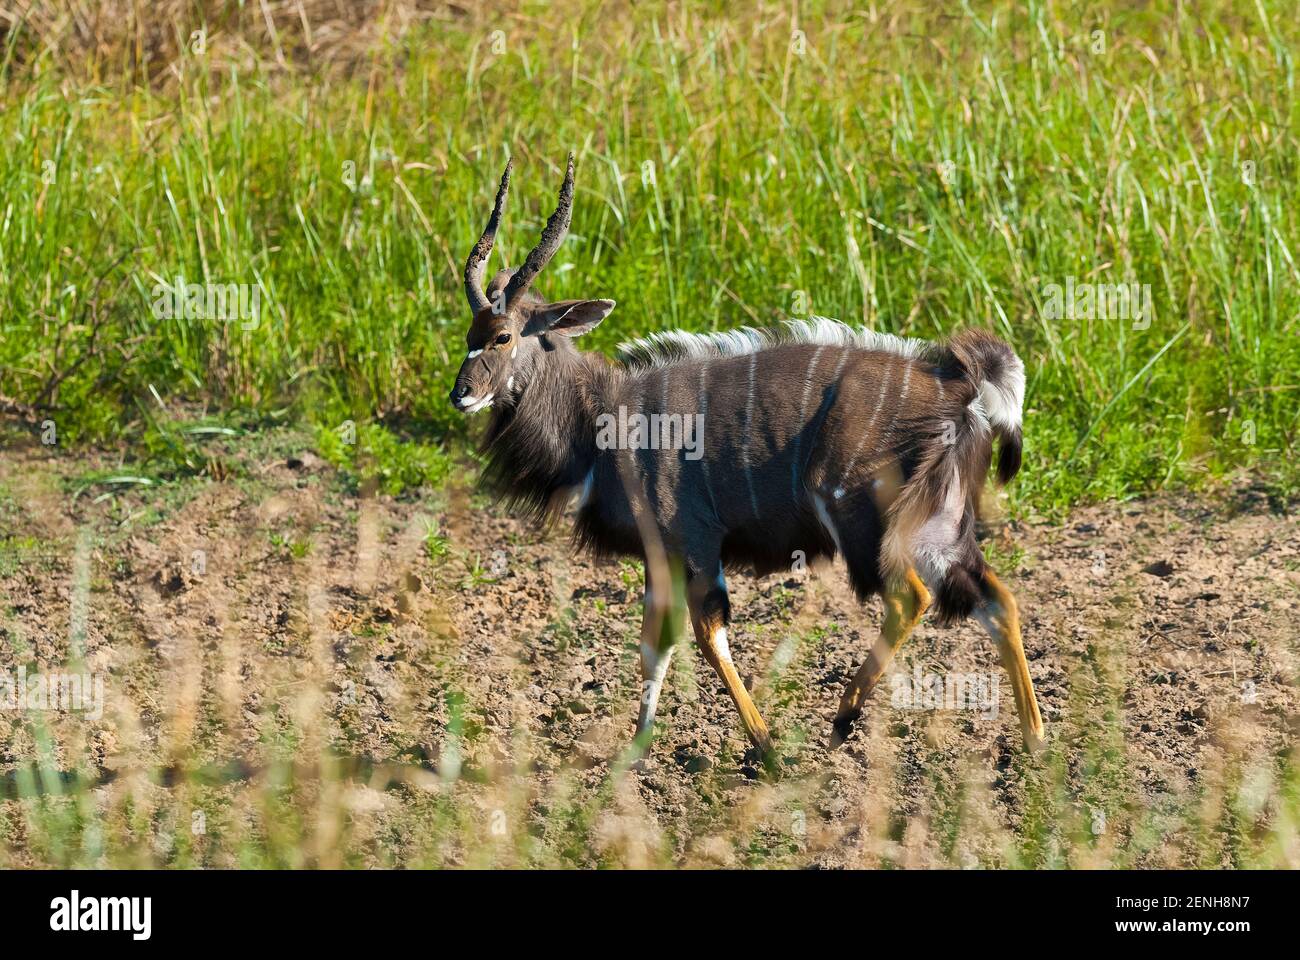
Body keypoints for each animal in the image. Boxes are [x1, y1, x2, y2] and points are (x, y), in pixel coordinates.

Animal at [449, 157, 1045, 749]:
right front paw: (635, 750)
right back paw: (1034, 740)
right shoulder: (660, 555)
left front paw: (765, 747)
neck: (601, 416)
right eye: (469, 334)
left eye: (503, 336)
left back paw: (843, 719)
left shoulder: (695, 541)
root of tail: (959, 384)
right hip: (940, 525)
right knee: (997, 599)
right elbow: (653, 646)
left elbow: (706, 634)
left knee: (911, 598)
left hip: (859, 514)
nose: (461, 394)